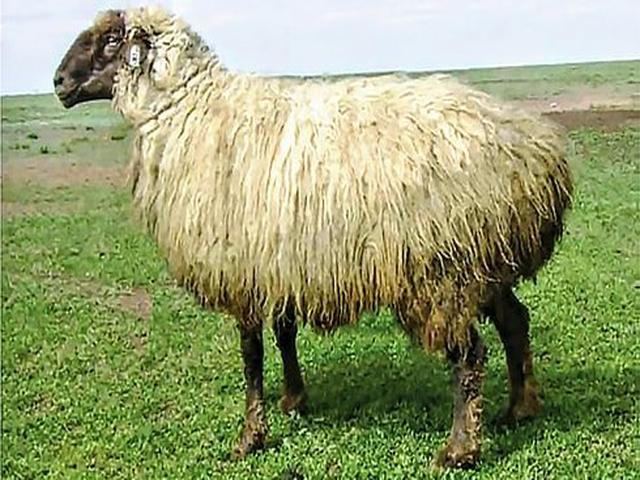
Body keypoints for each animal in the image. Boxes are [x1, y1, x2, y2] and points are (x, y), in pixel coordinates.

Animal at [53, 7, 573, 469]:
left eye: (112, 40)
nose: (58, 82)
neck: (191, 111)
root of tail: (538, 153)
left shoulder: (241, 269)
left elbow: (251, 356)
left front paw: (250, 437)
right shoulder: (278, 264)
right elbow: (284, 335)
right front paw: (294, 400)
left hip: (442, 270)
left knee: (469, 355)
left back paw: (461, 449)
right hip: (485, 260)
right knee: (515, 322)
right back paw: (520, 408)